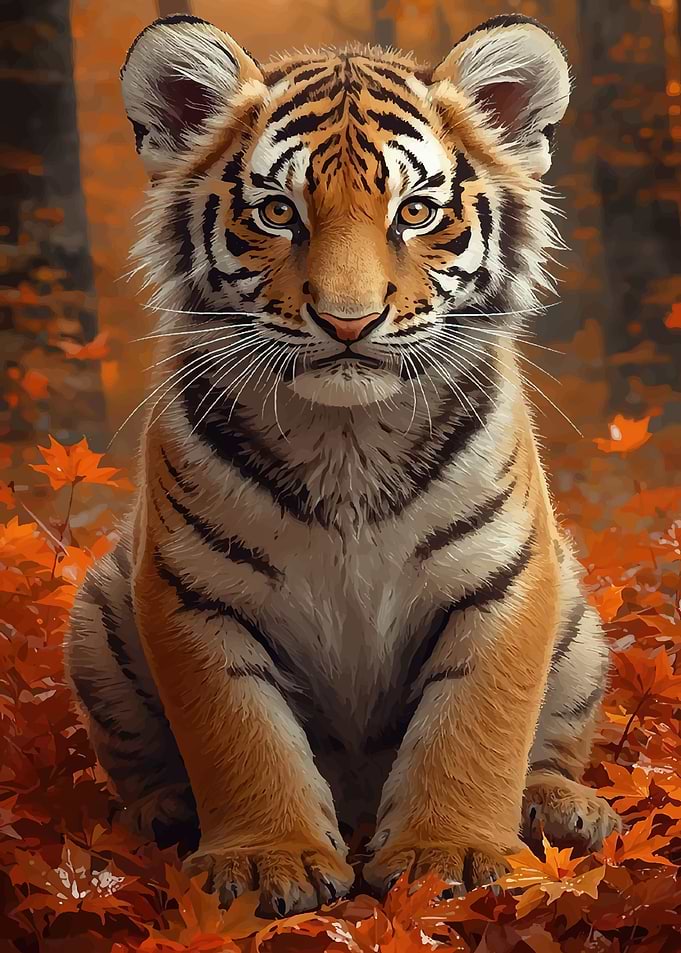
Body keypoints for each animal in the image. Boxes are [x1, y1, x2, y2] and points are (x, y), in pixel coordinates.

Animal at [65, 13, 621, 916]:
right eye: (278, 212)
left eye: (417, 212)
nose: (349, 321)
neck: (348, 438)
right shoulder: (190, 589)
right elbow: (239, 733)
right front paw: (267, 859)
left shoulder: (503, 575)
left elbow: (478, 722)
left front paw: (448, 853)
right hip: (98, 617)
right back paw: (164, 812)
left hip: (579, 627)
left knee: (549, 747)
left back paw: (562, 807)